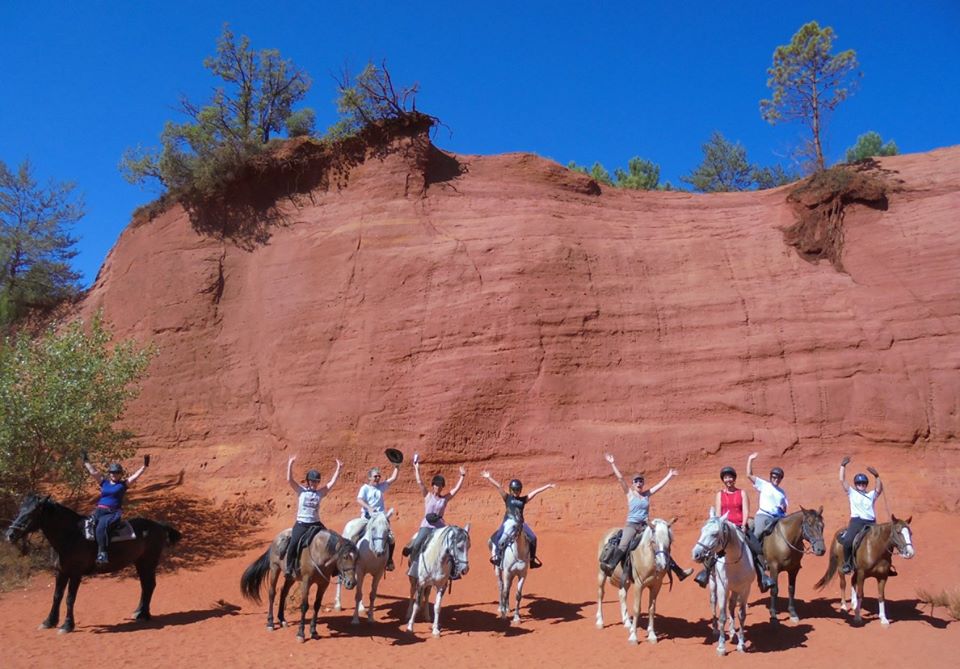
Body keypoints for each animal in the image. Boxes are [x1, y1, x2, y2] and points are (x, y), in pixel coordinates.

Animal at [4, 493, 181, 633]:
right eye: (20, 510)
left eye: (33, 512)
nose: (10, 534)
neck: (71, 536)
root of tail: (159, 525)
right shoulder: (60, 572)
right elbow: (57, 596)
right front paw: (49, 621)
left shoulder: (76, 574)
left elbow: (70, 598)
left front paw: (67, 625)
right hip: (140, 563)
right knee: (145, 586)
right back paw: (139, 612)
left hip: (148, 562)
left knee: (149, 585)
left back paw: (144, 614)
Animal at [692, 508, 754, 656]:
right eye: (702, 531)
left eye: (714, 534)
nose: (696, 554)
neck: (734, 561)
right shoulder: (722, 588)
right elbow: (722, 616)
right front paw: (721, 647)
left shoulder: (745, 589)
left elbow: (741, 615)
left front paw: (741, 644)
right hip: (714, 584)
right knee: (714, 604)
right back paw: (715, 630)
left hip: (735, 590)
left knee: (731, 606)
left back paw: (732, 632)